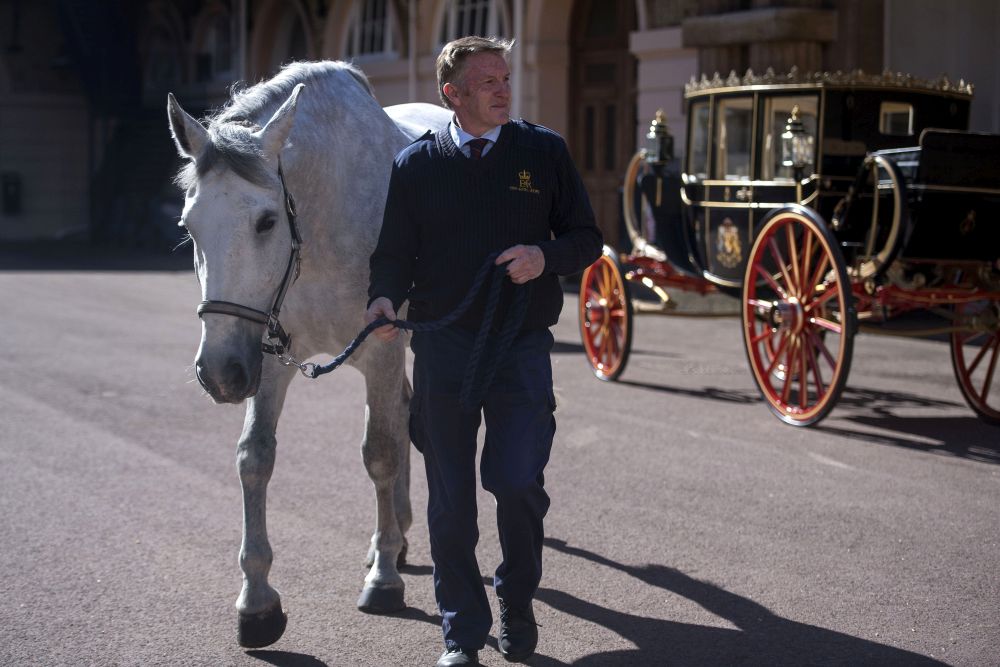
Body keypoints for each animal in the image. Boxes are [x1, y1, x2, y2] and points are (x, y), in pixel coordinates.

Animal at [167, 61, 450, 648]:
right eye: (188, 226)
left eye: (266, 220)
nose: (218, 373)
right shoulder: (268, 356)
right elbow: (255, 458)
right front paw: (256, 603)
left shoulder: (382, 349)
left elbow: (381, 452)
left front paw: (383, 582)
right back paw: (397, 533)